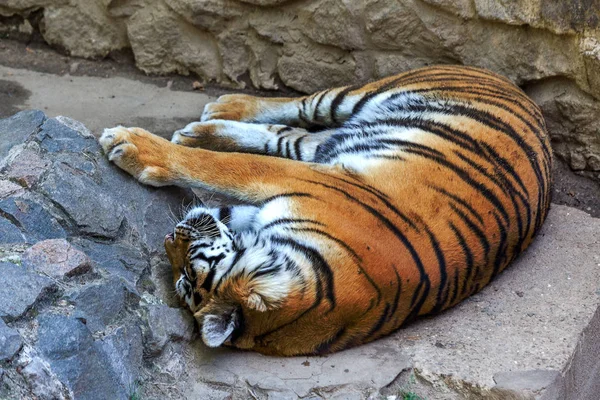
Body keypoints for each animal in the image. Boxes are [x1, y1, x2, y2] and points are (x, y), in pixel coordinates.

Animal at [98, 65, 552, 356]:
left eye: (188, 275)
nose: (168, 236)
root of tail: (515, 85)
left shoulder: (301, 179)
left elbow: (219, 168)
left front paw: (131, 146)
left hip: (346, 115)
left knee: (295, 120)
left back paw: (207, 123)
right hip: (337, 117)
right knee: (292, 119)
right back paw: (213, 117)